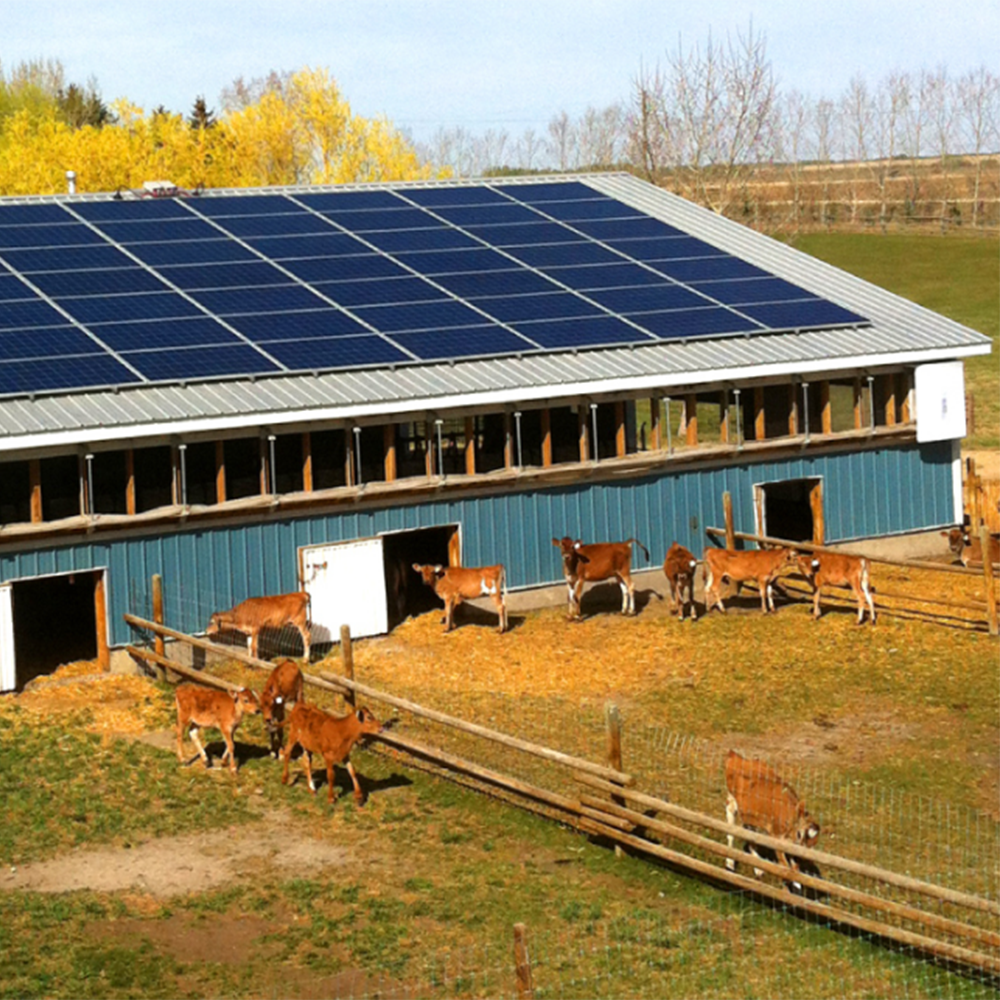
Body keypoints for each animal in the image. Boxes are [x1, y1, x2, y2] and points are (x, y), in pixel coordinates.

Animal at [724, 748, 824, 896]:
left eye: (813, 844)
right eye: (800, 834)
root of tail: (736, 756)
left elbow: (795, 867)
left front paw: (797, 890)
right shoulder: (777, 837)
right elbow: (784, 865)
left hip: (749, 816)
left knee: (751, 835)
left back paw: (758, 870)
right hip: (732, 802)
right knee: (731, 832)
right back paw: (730, 864)